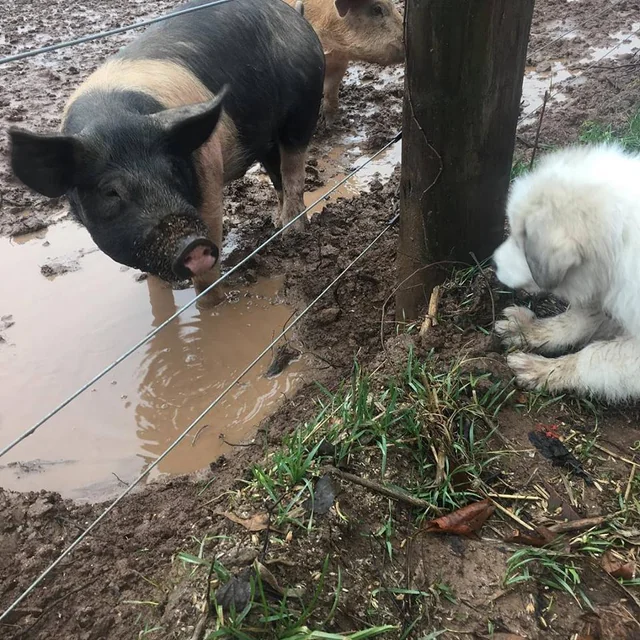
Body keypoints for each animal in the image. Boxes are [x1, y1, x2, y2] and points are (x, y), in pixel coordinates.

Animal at [496, 146, 640, 400]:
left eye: (520, 242)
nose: (493, 262)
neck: (622, 241)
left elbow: (594, 357)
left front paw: (546, 370)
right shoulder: (616, 296)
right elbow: (576, 320)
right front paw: (530, 330)